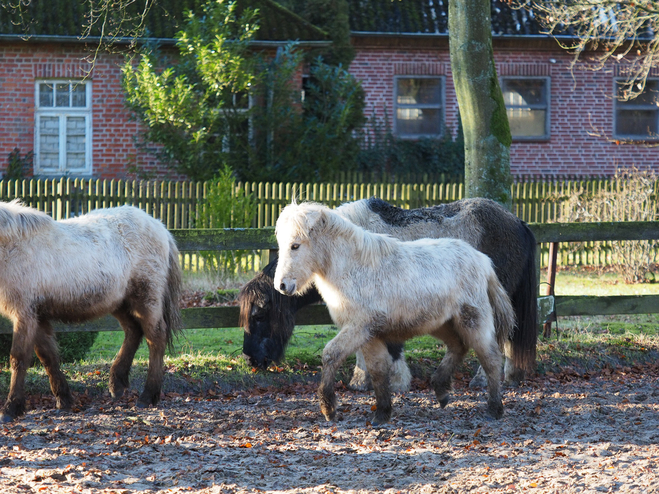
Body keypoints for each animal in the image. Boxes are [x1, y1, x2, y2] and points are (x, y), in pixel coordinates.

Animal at [0, 201, 182, 420]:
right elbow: (48, 356)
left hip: (147, 299)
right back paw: (117, 384)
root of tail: (160, 227)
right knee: (133, 332)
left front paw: (11, 408)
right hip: (121, 303)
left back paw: (147, 396)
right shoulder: (38, 315)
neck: (13, 246)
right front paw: (64, 400)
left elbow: (18, 358)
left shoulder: (25, 314)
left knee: (155, 338)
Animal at [274, 202, 516, 424]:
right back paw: (441, 391)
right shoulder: (370, 335)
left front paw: (329, 409)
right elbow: (378, 371)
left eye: (295, 245)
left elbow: (330, 354)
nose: (282, 285)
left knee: (491, 358)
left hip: (473, 321)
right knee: (458, 346)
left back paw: (494, 409)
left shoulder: (358, 328)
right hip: (442, 324)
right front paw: (382, 413)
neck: (355, 269)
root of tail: (483, 261)